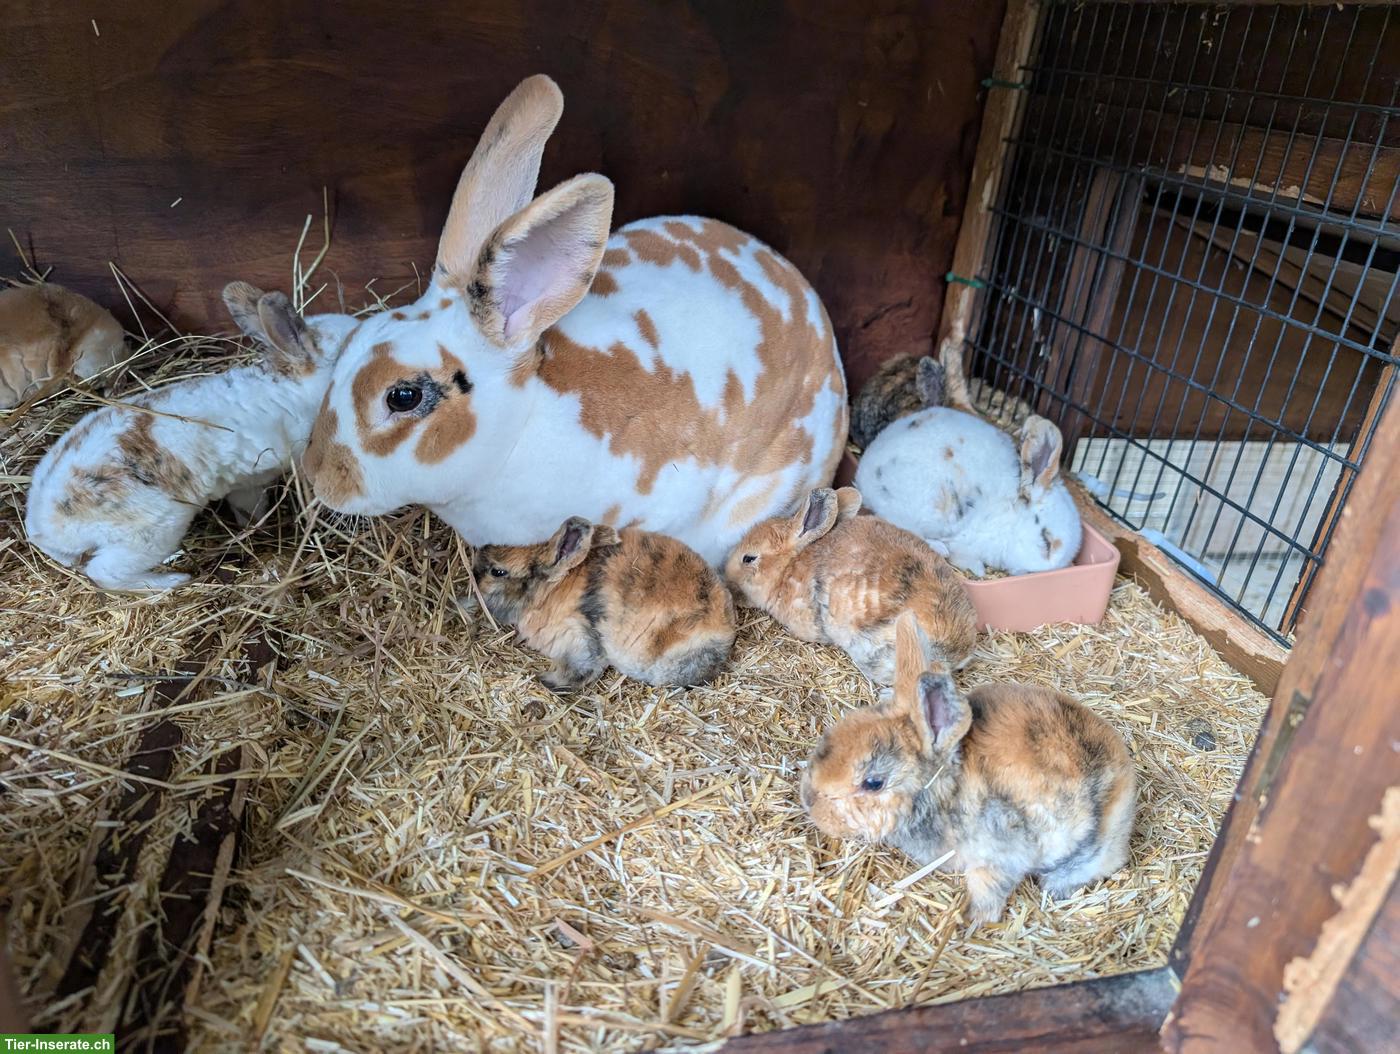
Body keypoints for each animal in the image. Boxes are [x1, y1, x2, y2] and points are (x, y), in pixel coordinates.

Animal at [24, 283, 357, 590]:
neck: (293, 387)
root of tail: (41, 526)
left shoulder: (246, 485)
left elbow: (248, 509)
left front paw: (255, 527)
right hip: (151, 533)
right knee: (105, 572)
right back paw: (172, 580)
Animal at [467, 516, 737, 690]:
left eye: (497, 572)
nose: (473, 574)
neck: (552, 587)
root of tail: (727, 630)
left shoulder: (580, 638)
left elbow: (581, 671)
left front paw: (545, 680)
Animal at [801, 611, 1136, 928]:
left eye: (873, 783)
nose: (809, 801)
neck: (947, 787)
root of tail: (1126, 772)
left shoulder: (998, 858)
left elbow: (987, 890)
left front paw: (972, 920)